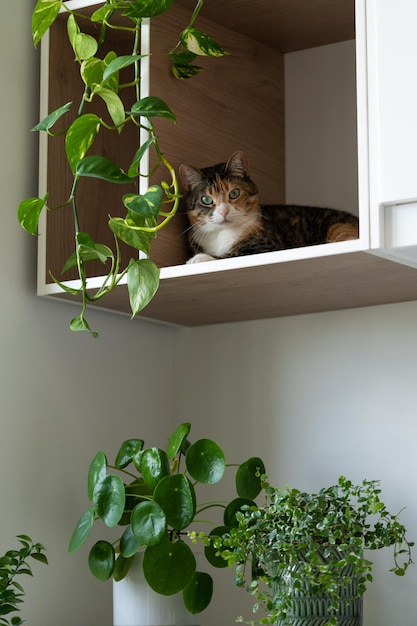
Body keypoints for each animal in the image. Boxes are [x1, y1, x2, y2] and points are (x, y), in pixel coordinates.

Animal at [176, 150, 358, 262]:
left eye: (234, 193)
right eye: (206, 200)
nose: (224, 211)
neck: (221, 235)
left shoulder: (267, 247)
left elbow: (236, 255)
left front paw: (201, 258)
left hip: (338, 227)